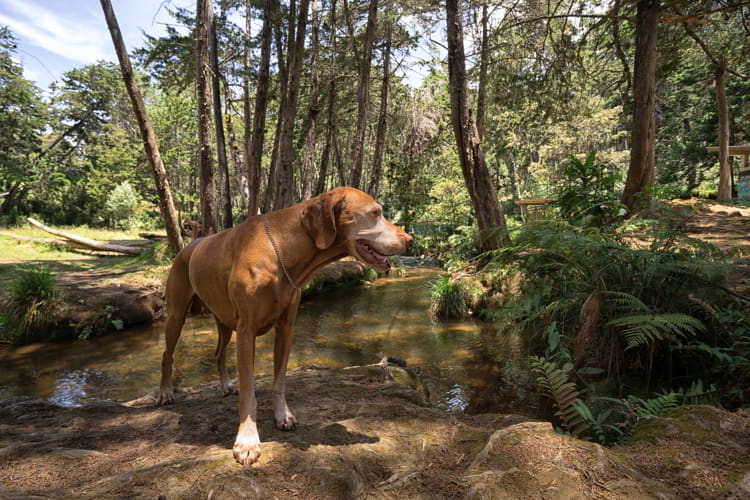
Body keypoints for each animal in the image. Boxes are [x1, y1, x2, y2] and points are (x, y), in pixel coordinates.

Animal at [157, 187, 412, 464]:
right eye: (376, 213)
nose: (410, 240)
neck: (279, 251)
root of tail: (191, 244)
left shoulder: (286, 328)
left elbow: (279, 381)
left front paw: (282, 415)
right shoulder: (246, 331)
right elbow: (249, 392)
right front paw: (247, 439)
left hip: (223, 319)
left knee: (218, 353)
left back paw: (225, 385)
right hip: (177, 315)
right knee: (167, 354)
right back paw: (165, 392)